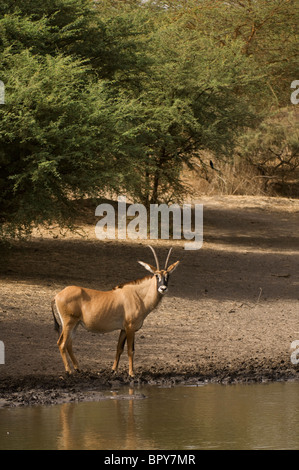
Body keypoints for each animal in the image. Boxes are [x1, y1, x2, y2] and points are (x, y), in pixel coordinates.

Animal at [51, 246, 180, 374]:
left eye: (168, 276)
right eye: (156, 276)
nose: (163, 288)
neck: (139, 296)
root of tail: (57, 295)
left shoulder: (123, 329)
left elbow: (119, 348)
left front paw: (114, 370)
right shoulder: (130, 328)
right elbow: (130, 350)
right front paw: (131, 373)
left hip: (75, 324)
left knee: (68, 343)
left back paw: (78, 368)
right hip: (69, 323)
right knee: (62, 344)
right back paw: (69, 370)